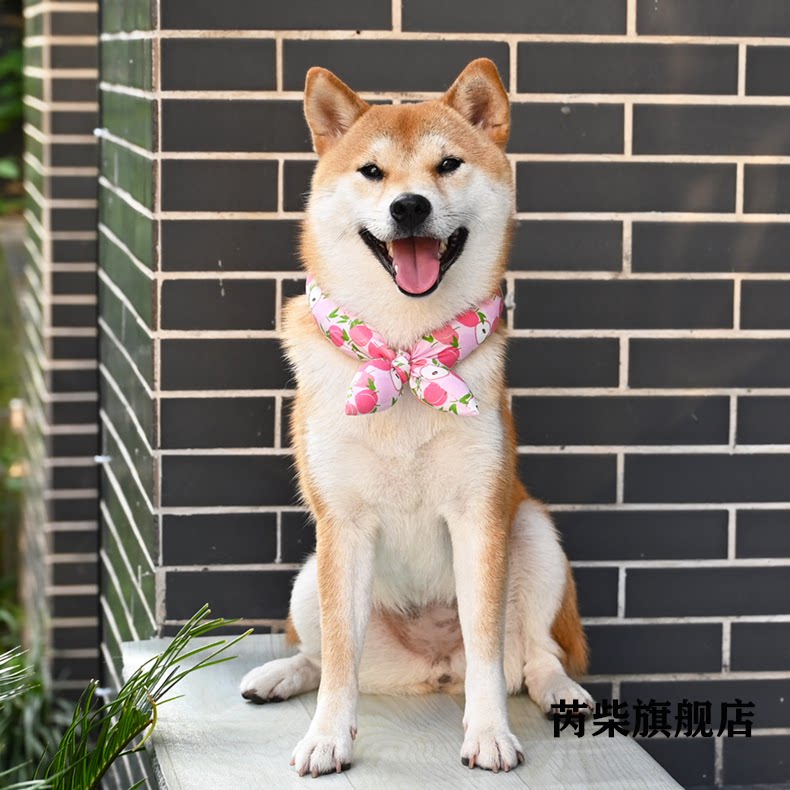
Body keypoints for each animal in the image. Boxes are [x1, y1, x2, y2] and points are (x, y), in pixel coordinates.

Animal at [239, 58, 593, 777]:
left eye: (448, 164)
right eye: (372, 172)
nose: (409, 206)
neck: (405, 352)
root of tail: (434, 668)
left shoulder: (480, 514)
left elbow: (487, 647)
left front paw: (489, 734)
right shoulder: (341, 526)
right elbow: (339, 660)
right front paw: (327, 738)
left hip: (534, 533)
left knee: (534, 657)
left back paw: (560, 690)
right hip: (307, 579)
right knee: (319, 655)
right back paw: (280, 675)